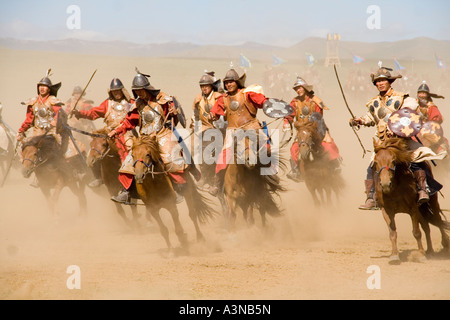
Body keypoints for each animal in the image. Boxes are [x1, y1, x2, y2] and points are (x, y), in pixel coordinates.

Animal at [372, 136, 450, 264]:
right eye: (376, 162)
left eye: (393, 161)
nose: (385, 185)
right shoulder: (386, 210)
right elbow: (392, 233)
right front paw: (394, 255)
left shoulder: (413, 208)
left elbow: (416, 232)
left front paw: (421, 255)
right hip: (421, 209)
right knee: (426, 226)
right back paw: (430, 251)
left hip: (432, 201)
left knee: (437, 220)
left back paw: (445, 244)